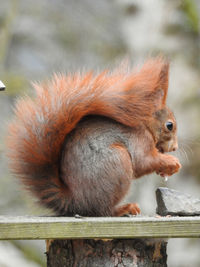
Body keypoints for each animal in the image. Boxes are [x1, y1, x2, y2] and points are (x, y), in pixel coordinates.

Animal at [7, 57, 181, 217]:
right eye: (169, 125)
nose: (175, 148)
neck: (145, 125)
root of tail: (75, 201)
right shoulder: (139, 140)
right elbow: (143, 161)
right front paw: (172, 162)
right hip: (118, 163)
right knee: (102, 210)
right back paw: (123, 209)